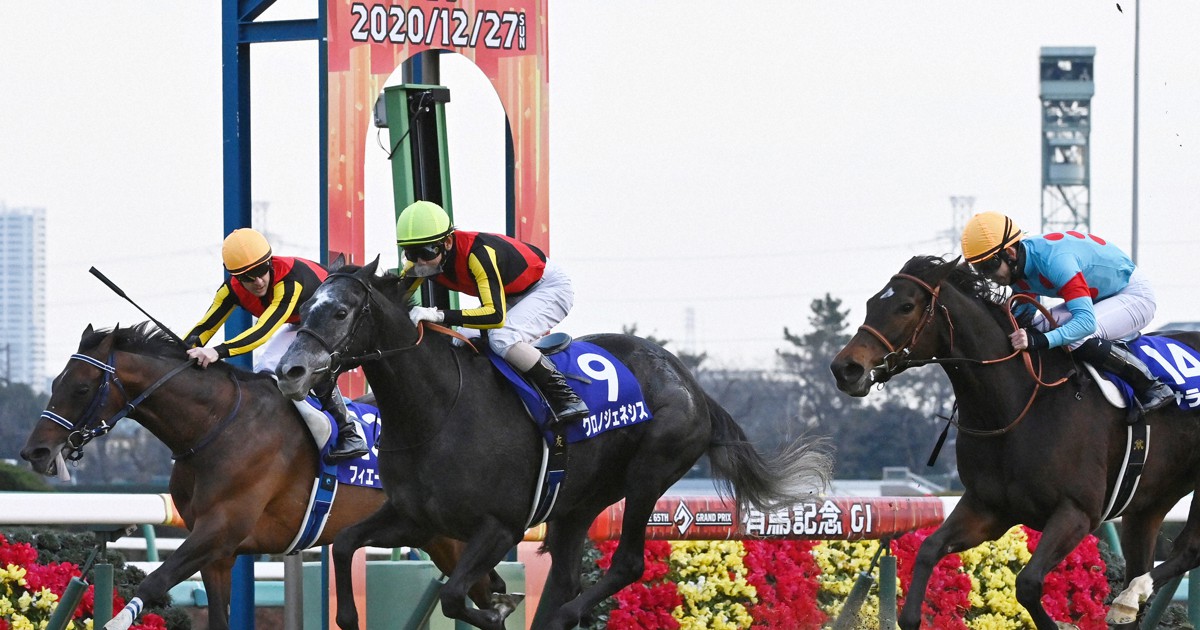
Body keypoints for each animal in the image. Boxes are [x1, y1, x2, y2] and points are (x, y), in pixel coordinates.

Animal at [19, 323, 519, 630]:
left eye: (81, 387)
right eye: (54, 382)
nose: (34, 452)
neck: (216, 427)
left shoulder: (220, 529)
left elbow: (153, 584)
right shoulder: (218, 553)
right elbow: (218, 617)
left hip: (452, 540)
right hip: (439, 540)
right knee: (485, 592)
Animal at [273, 259, 832, 630]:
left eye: (341, 312)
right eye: (305, 308)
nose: (290, 370)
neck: (435, 411)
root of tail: (690, 383)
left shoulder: (499, 525)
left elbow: (453, 596)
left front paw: (497, 607)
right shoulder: (415, 517)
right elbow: (347, 543)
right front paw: (348, 614)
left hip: (649, 473)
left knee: (625, 564)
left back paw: (567, 615)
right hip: (577, 503)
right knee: (564, 573)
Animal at [829, 255, 1200, 630]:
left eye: (906, 306)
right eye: (871, 303)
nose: (845, 368)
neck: (1018, 406)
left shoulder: (1077, 512)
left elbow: (1028, 583)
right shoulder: (987, 507)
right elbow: (929, 550)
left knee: (1187, 550)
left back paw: (1129, 596)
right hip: (1150, 501)